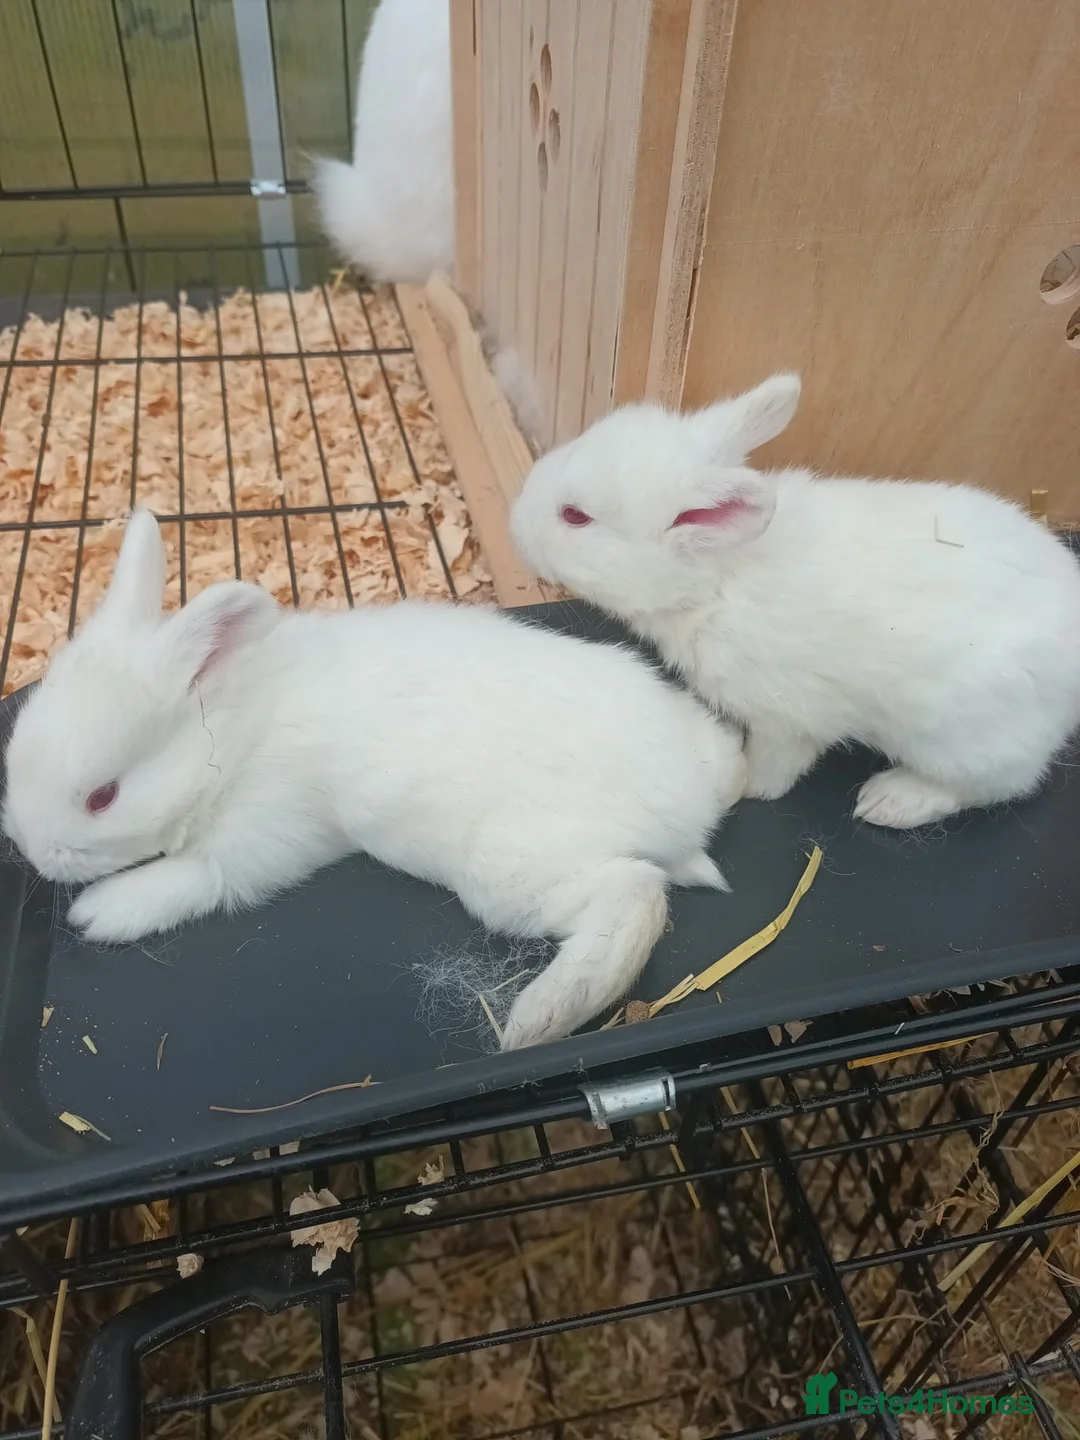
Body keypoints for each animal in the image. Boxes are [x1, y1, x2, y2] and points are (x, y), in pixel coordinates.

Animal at [1, 510, 746, 1050]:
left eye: (102, 796)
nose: (37, 854)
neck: (236, 727)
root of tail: (696, 800)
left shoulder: (262, 837)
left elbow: (197, 878)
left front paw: (101, 912)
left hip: (514, 869)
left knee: (636, 897)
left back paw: (537, 1019)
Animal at [510, 374, 1080, 830]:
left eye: (575, 516)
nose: (513, 518)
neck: (720, 579)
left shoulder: (785, 720)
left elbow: (775, 767)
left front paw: (745, 787)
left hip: (968, 742)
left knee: (999, 784)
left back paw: (891, 801)